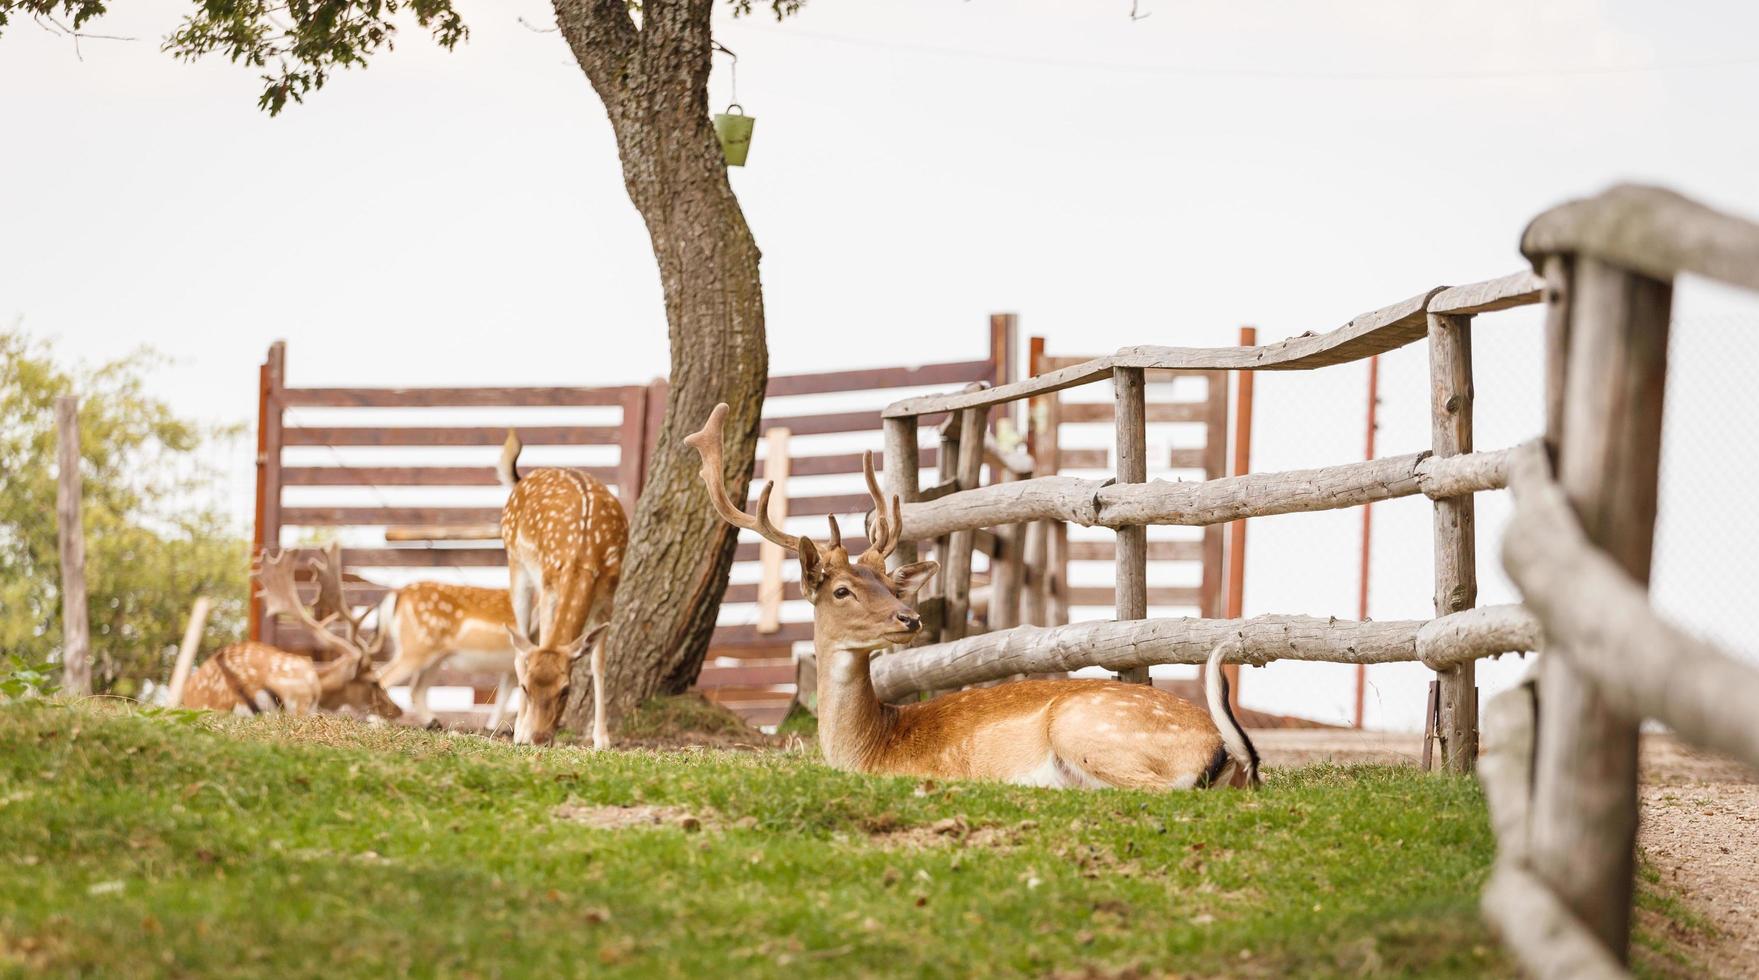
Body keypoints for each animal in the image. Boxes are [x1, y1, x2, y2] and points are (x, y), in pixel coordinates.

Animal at [376, 580, 520, 724]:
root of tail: (399, 593)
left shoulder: (512, 669)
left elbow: (503, 699)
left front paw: (492, 727)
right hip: (415, 648)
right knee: (382, 678)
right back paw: (378, 722)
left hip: (433, 658)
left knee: (416, 690)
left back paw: (433, 723)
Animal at [496, 431, 626, 745]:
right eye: (525, 687)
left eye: (565, 689)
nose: (540, 737)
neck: (583, 555)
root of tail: (522, 480)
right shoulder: (548, 584)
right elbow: (543, 642)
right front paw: (523, 730)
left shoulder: (609, 593)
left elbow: (598, 663)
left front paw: (602, 739)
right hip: (515, 562)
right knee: (519, 648)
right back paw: (517, 730)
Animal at [678, 401, 1259, 791]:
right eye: (843, 590)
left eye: (888, 584)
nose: (909, 618)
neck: (870, 750)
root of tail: (1226, 751)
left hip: (1087, 729)